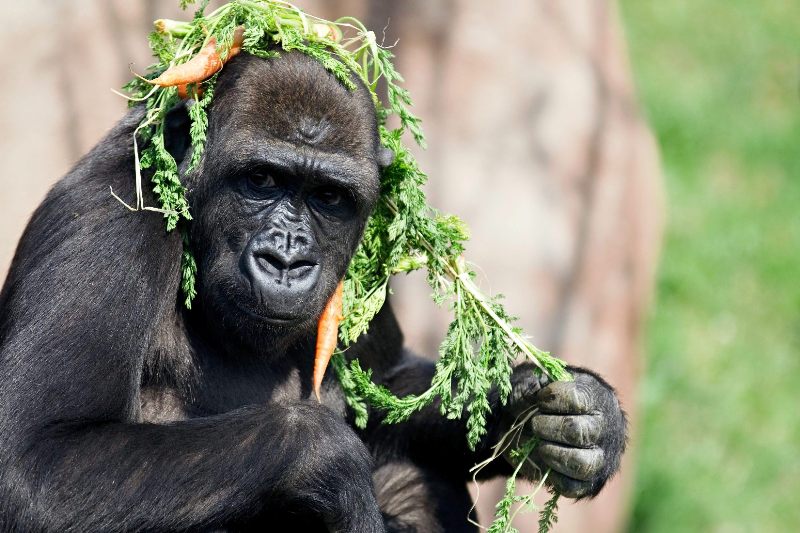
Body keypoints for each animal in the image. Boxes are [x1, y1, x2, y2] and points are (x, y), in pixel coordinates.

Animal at [0, 51, 628, 532]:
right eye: (261, 179)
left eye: (328, 196)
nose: (287, 260)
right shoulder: (104, 217)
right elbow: (37, 466)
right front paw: (327, 461)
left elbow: (387, 387)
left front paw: (557, 412)